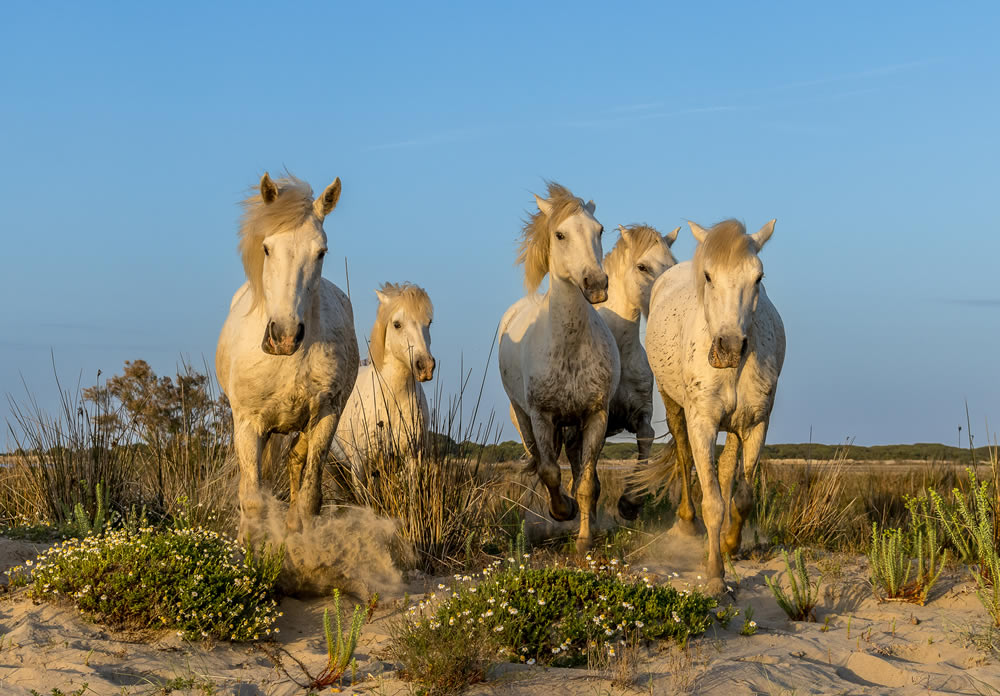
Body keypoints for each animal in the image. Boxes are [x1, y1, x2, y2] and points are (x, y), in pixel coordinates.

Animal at [215, 173, 360, 532]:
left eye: (321, 252)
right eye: (267, 248)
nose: (284, 335)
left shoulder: (326, 416)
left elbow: (308, 498)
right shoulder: (248, 424)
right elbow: (253, 500)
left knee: (296, 461)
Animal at [334, 282, 436, 474]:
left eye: (429, 323)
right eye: (397, 324)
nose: (426, 366)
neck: (393, 397)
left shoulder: (412, 458)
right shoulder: (360, 465)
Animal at [498, 182, 616, 552]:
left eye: (599, 230)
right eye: (560, 234)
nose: (596, 284)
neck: (568, 348)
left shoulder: (595, 416)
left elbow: (587, 482)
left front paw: (583, 539)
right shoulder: (541, 417)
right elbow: (549, 472)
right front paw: (562, 511)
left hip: (574, 427)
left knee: (579, 470)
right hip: (524, 420)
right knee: (541, 463)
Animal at [644, 219, 784, 592]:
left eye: (759, 277)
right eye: (708, 276)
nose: (729, 348)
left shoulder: (755, 424)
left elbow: (742, 497)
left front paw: (729, 545)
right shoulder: (702, 424)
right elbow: (713, 503)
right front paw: (715, 575)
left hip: (735, 427)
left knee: (725, 471)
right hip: (674, 407)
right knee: (683, 456)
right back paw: (687, 522)